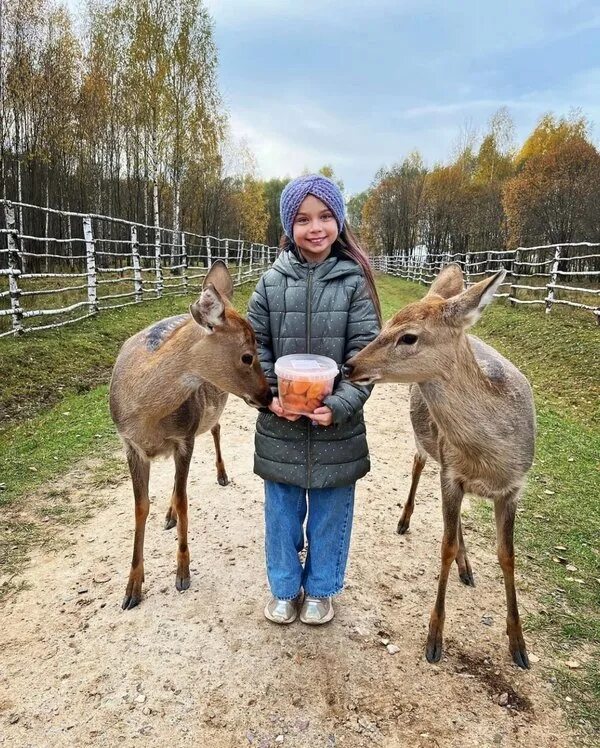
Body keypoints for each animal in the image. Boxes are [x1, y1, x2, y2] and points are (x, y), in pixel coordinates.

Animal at [109, 260, 274, 612]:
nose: (267, 395)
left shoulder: (185, 437)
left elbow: (185, 501)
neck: (147, 418)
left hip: (205, 417)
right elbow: (140, 507)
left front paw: (182, 573)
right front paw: (131, 589)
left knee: (215, 428)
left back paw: (221, 475)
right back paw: (168, 515)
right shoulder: (130, 445)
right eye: (247, 355)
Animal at [344, 266, 536, 668]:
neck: (489, 460)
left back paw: (467, 568)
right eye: (387, 323)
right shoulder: (451, 473)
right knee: (418, 464)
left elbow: (507, 556)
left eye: (408, 336)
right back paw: (406, 522)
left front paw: (519, 646)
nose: (349, 364)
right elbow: (444, 547)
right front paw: (434, 639)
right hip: (429, 443)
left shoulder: (514, 487)